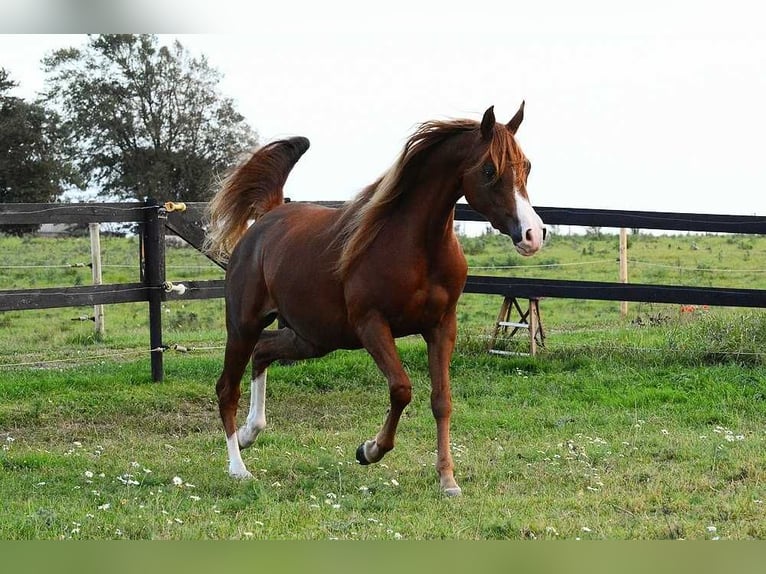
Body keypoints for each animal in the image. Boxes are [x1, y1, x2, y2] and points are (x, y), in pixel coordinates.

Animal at [207, 102, 548, 496]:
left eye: (527, 166)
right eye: (490, 169)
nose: (532, 234)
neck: (419, 249)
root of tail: (267, 217)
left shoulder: (441, 326)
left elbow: (442, 401)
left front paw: (447, 479)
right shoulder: (371, 324)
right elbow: (401, 389)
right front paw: (369, 450)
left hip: (312, 338)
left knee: (263, 352)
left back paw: (250, 433)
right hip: (244, 325)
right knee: (227, 388)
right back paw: (238, 467)